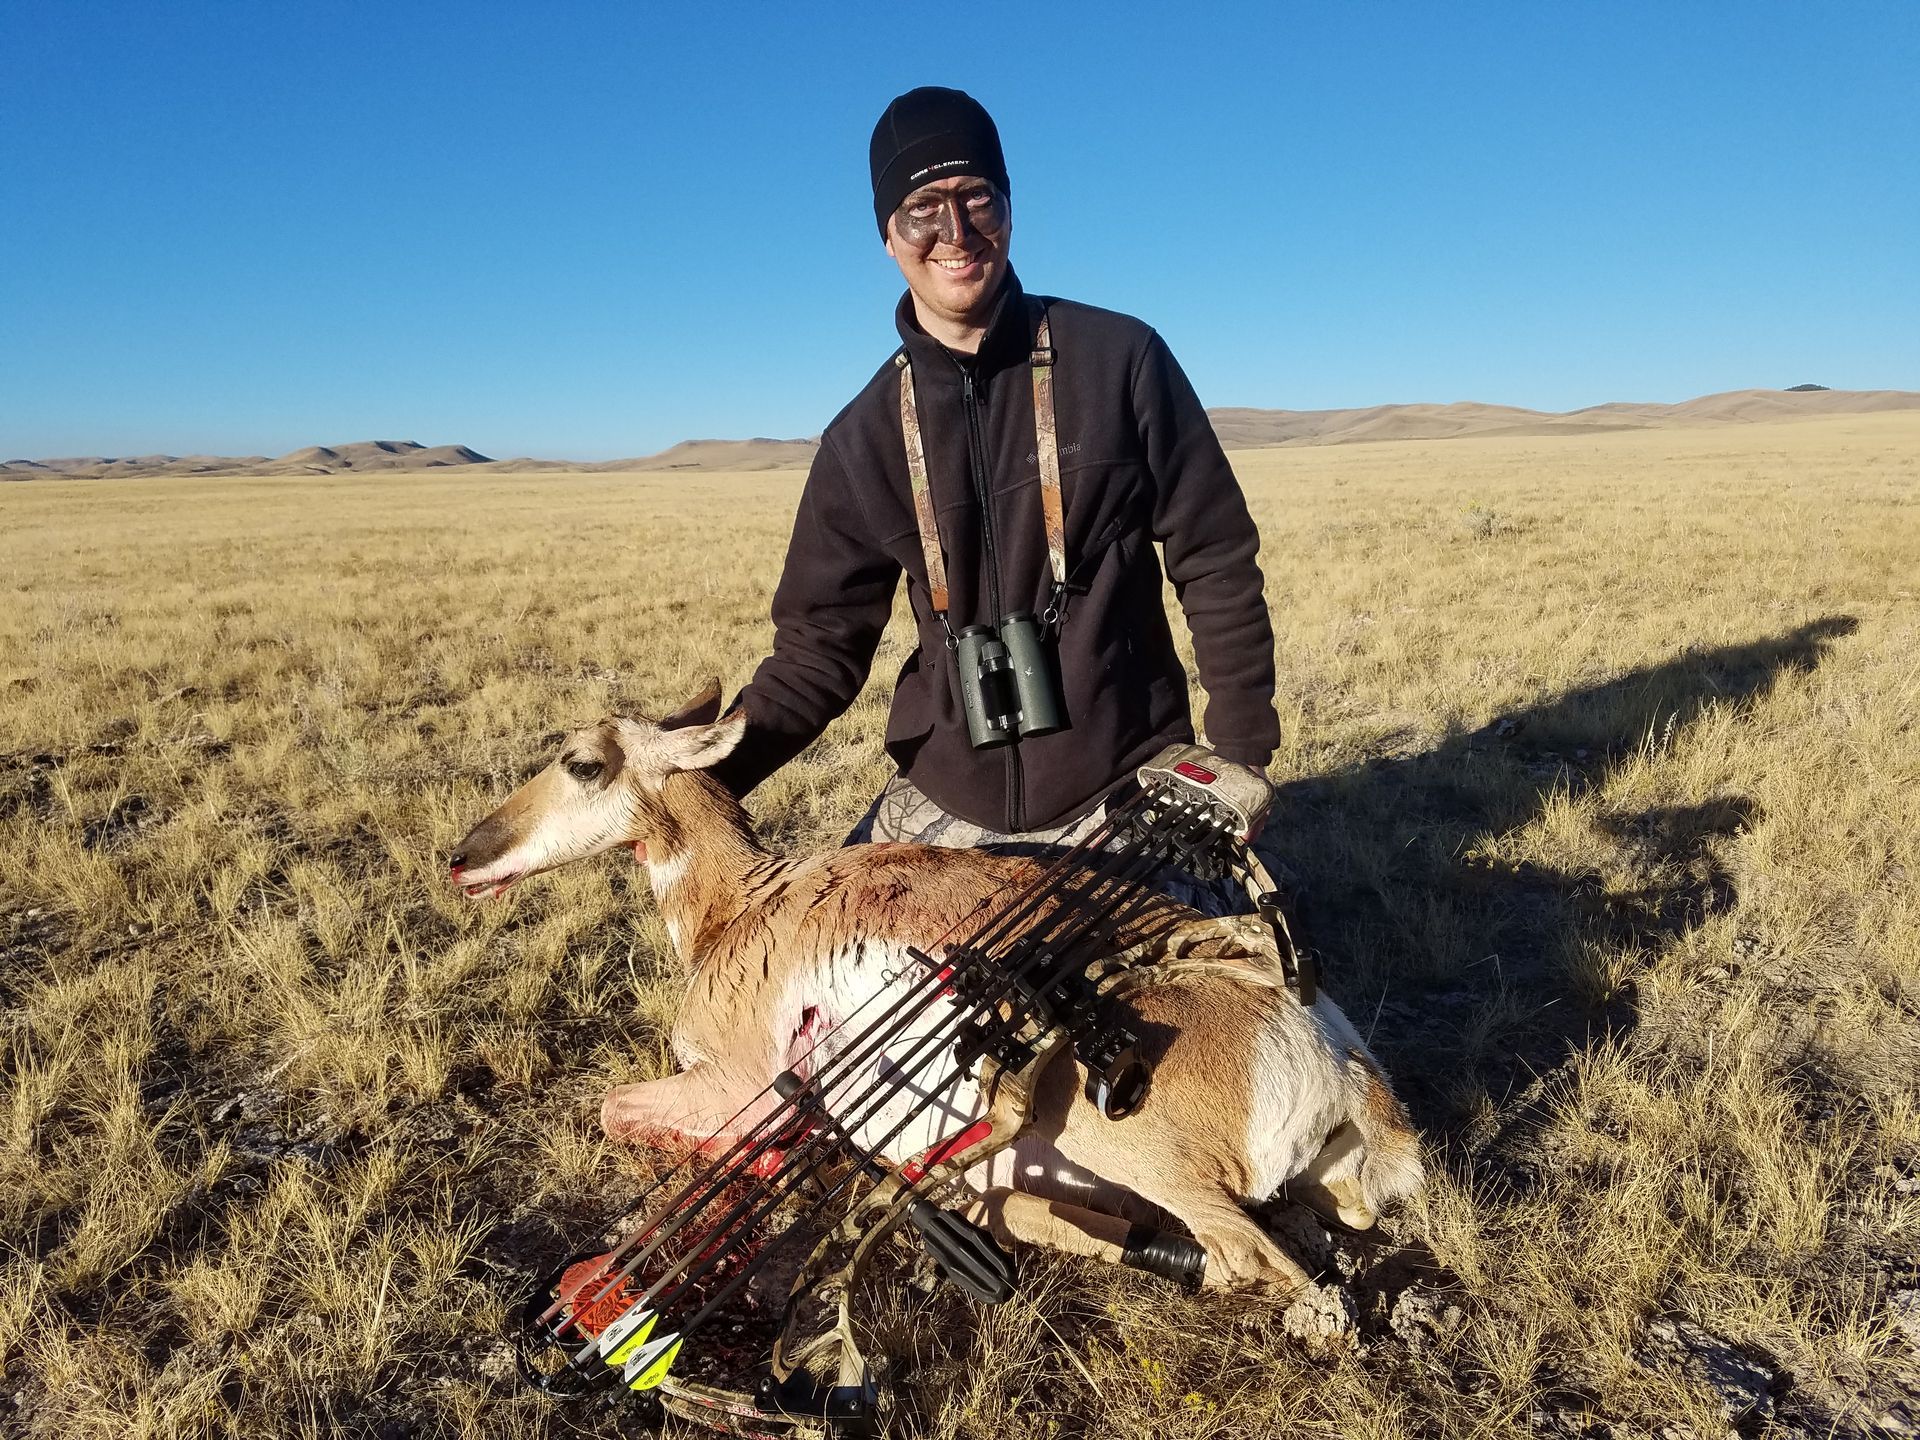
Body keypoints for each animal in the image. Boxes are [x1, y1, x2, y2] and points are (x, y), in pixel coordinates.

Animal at [448, 682, 1424, 1296]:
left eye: (582, 761)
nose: (460, 857)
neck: (748, 903)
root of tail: (1334, 1055)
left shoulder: (737, 1084)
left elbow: (614, 1107)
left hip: (1120, 1133)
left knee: (1253, 1262)